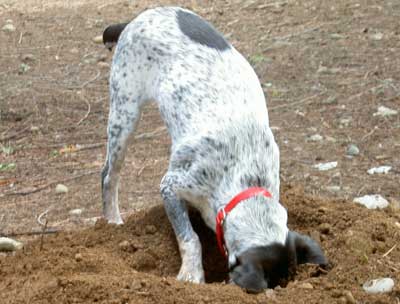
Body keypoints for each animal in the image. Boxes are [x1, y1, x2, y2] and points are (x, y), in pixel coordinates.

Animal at [101, 6, 328, 292]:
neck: (245, 178)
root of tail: (135, 19)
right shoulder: (170, 186)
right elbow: (190, 238)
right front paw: (191, 274)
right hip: (125, 111)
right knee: (109, 175)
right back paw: (112, 221)